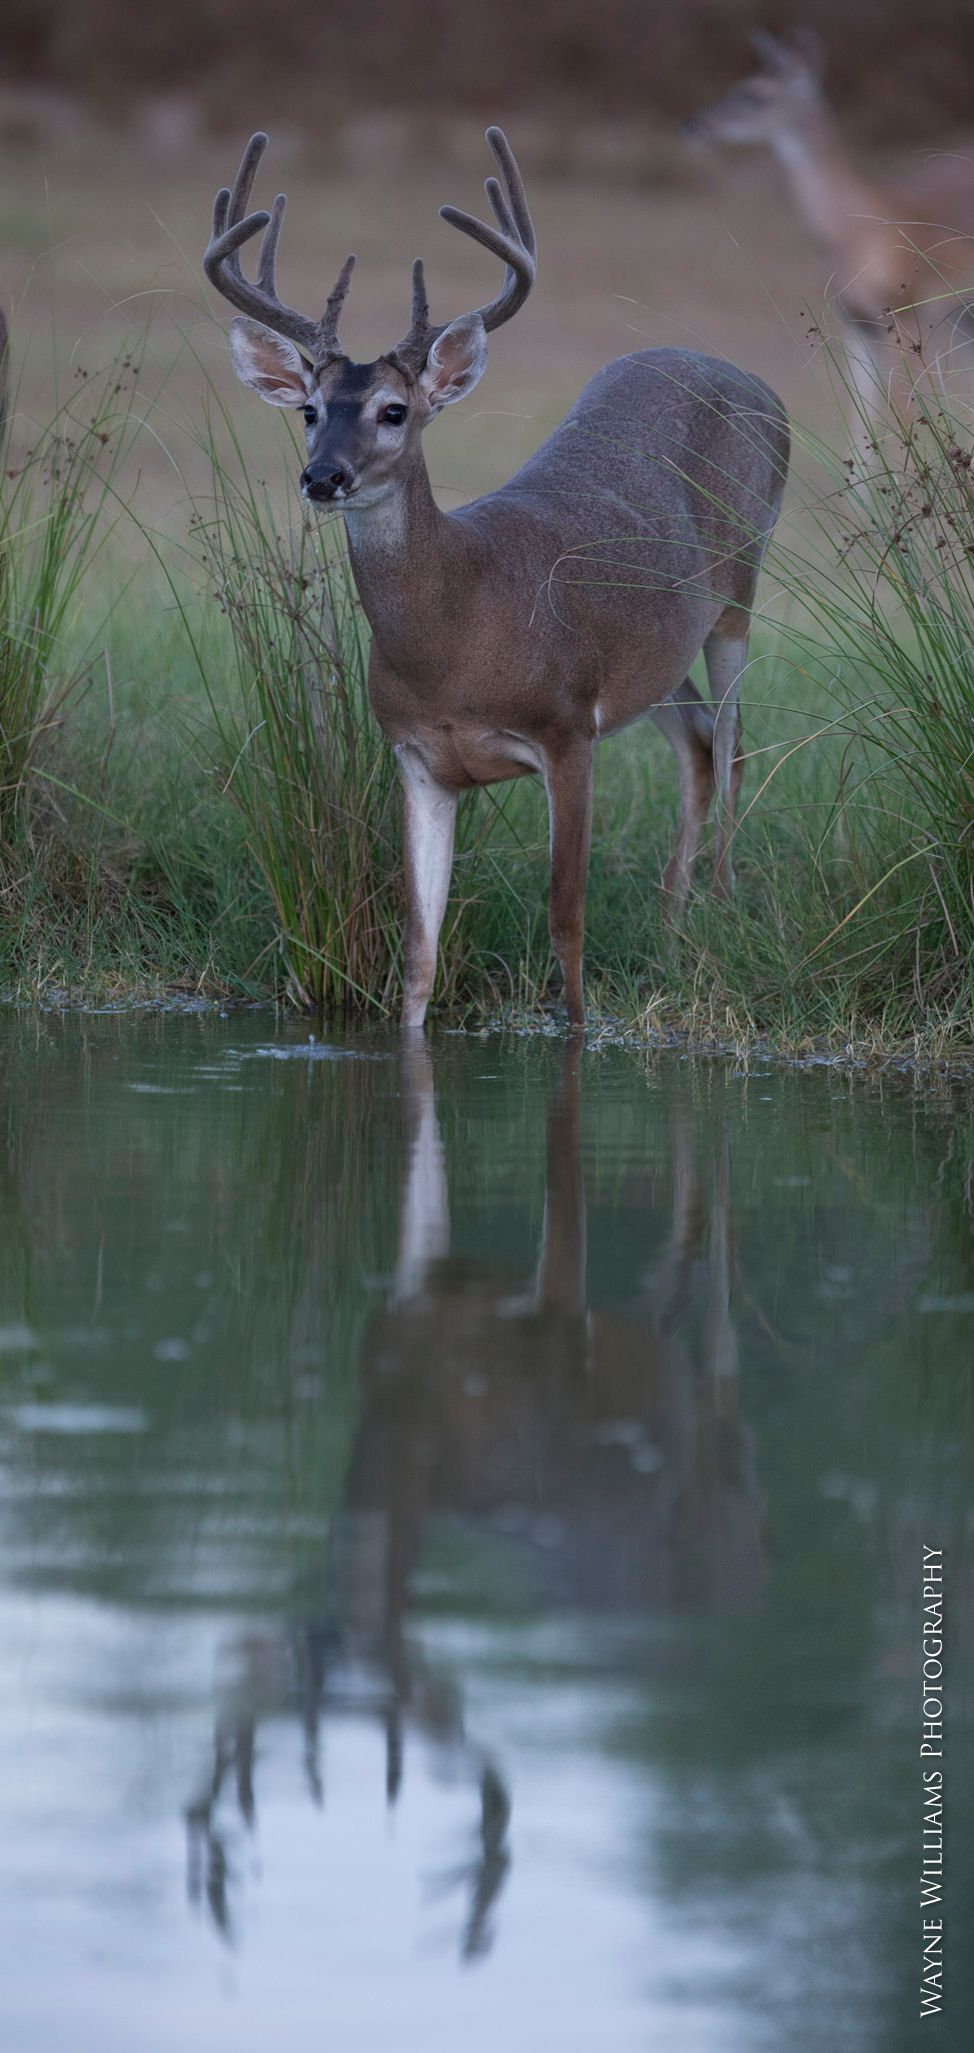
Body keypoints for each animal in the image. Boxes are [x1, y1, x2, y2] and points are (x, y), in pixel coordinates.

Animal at [204, 130, 788, 1028]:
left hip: (740, 589)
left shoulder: (567, 727)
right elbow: (418, 948)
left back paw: (719, 914)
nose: (323, 477)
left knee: (732, 744)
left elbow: (566, 921)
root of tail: (758, 385)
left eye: (394, 411)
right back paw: (671, 927)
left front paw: (578, 1029)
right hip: (657, 654)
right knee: (697, 743)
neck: (461, 635)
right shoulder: (416, 755)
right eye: (308, 409)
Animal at [685, 31, 974, 452]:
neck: (853, 228)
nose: (694, 125)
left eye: (755, 93)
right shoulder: (856, 324)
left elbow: (907, 417)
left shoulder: (907, 314)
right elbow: (861, 426)